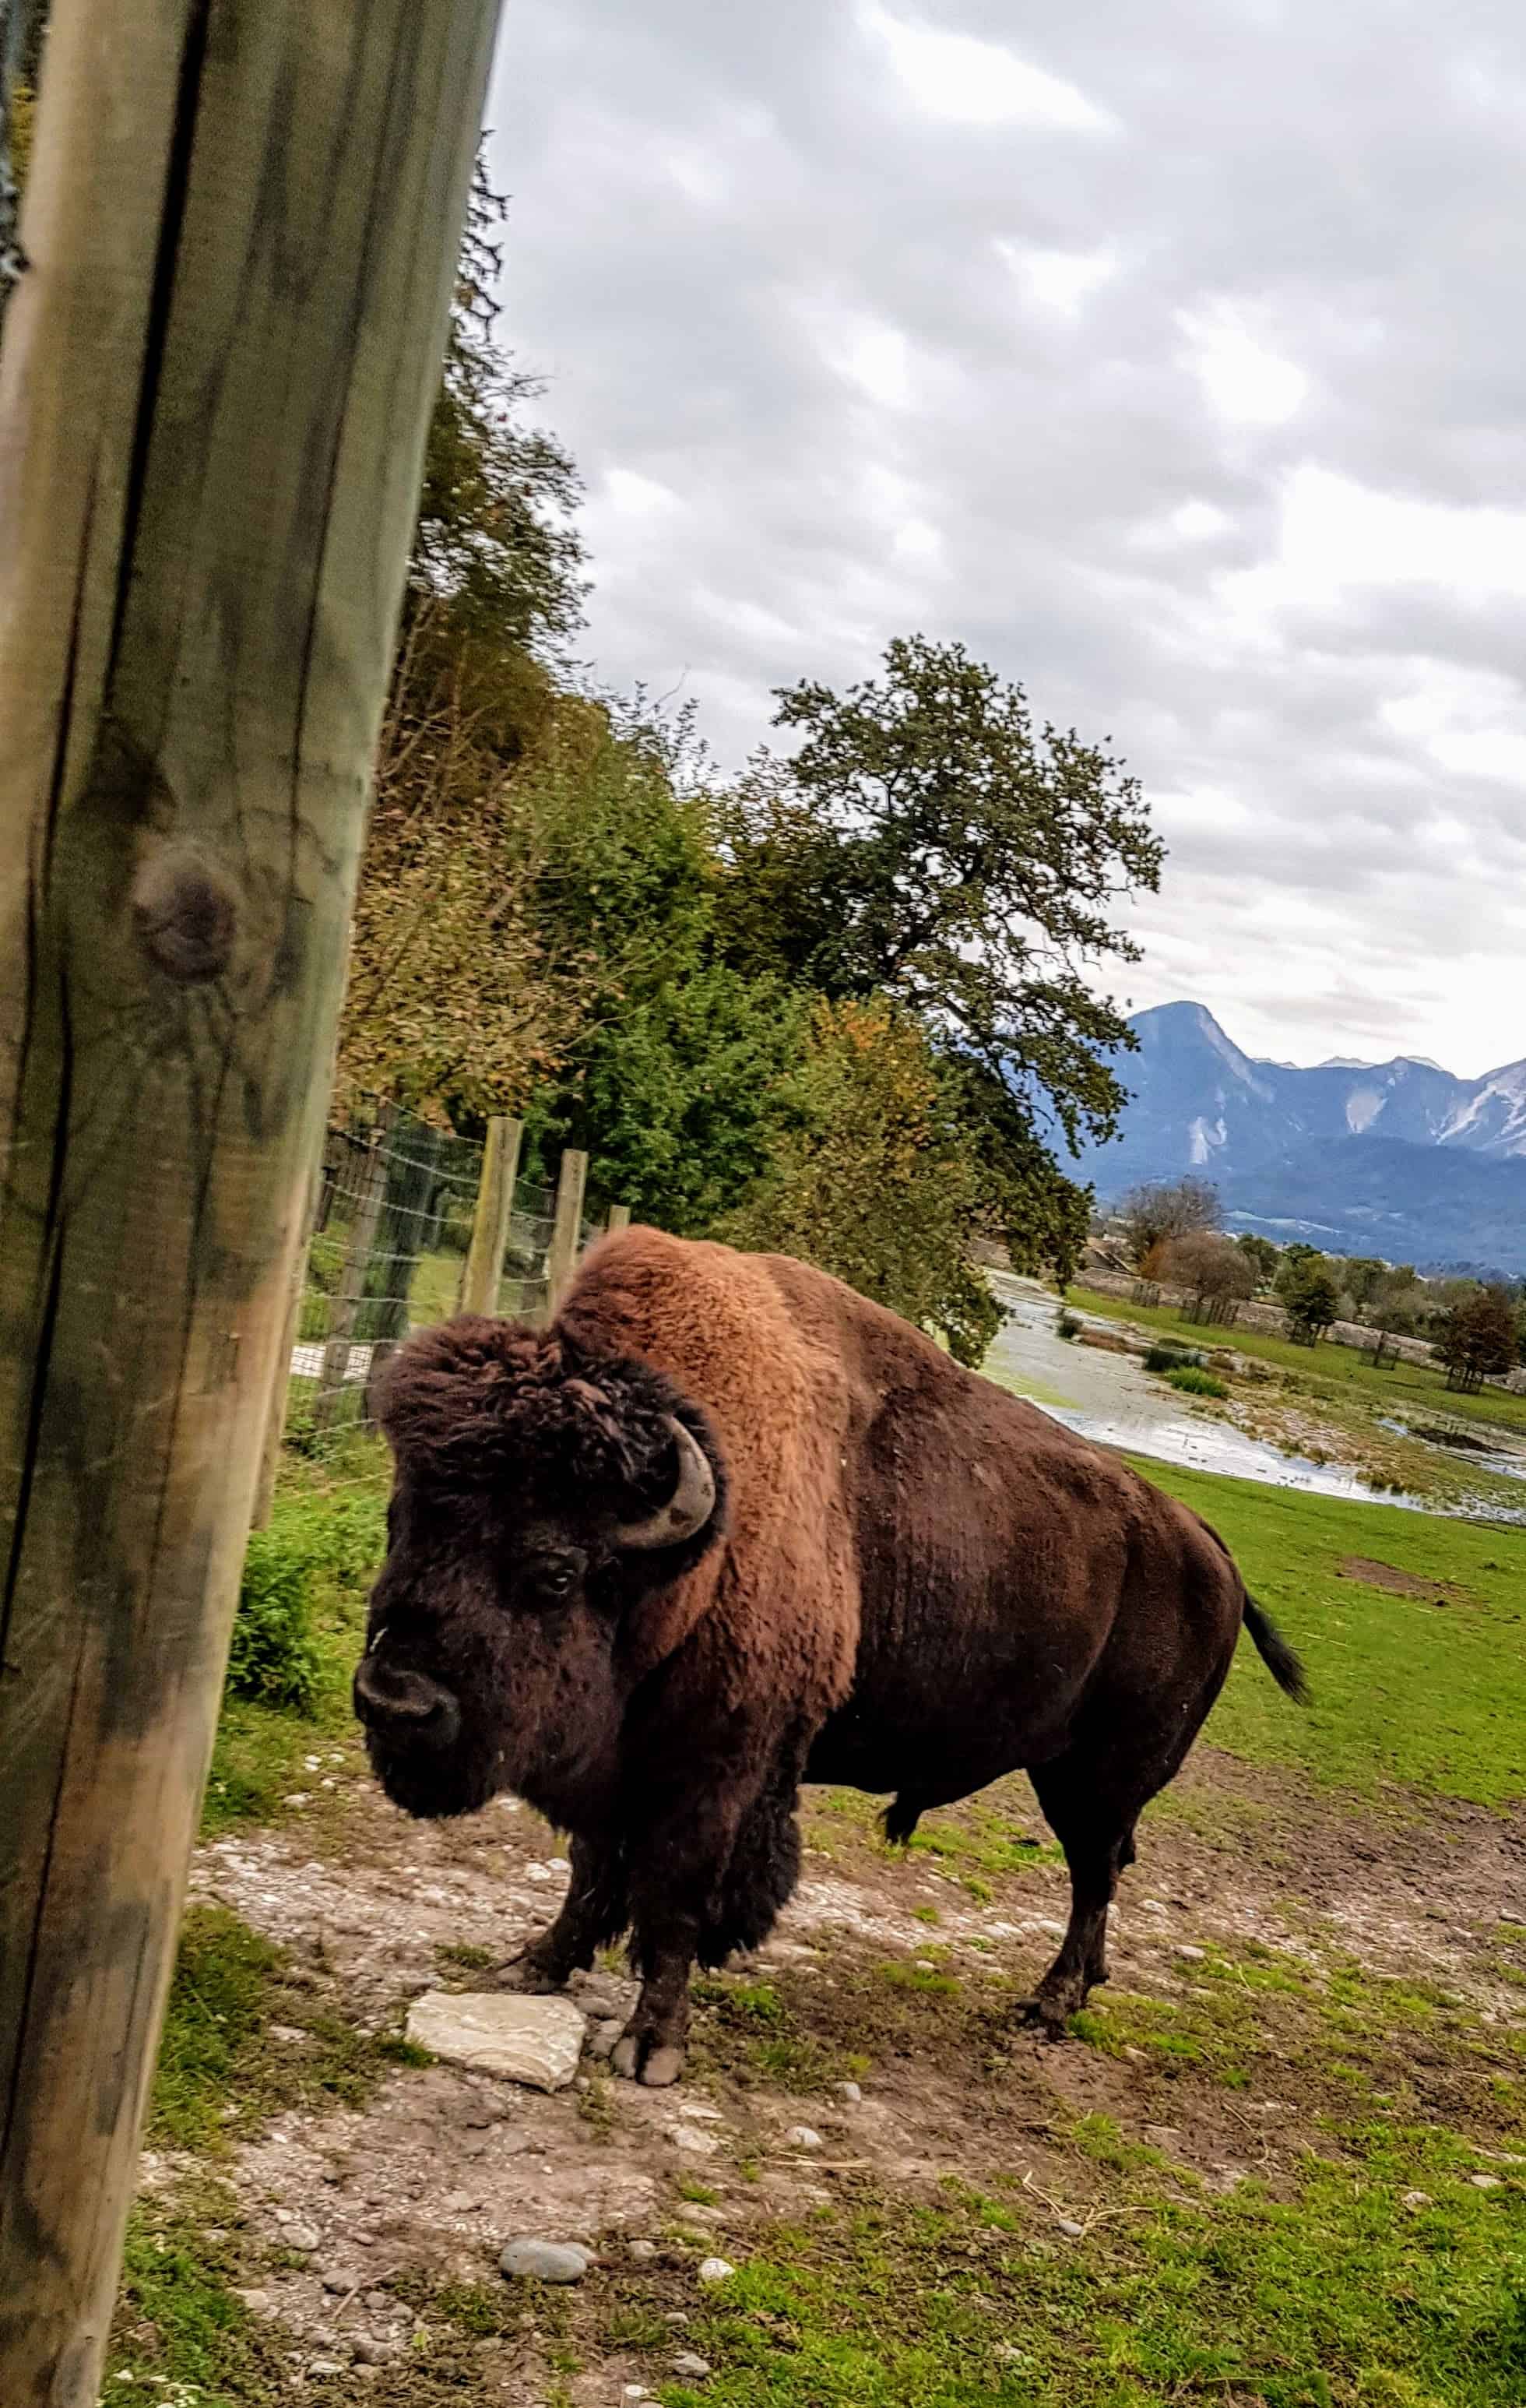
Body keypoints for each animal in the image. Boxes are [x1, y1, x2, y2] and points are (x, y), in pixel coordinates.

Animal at [351, 1233, 1299, 2080]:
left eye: (555, 1570)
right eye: (402, 1523)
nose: (395, 1703)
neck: (687, 1558)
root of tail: (1212, 1553)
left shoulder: (719, 1768)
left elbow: (674, 1895)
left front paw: (652, 2048)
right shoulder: (616, 1765)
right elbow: (589, 1876)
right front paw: (530, 1967)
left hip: (1096, 1780)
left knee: (1092, 1876)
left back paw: (1048, 2005)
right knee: (1100, 1875)